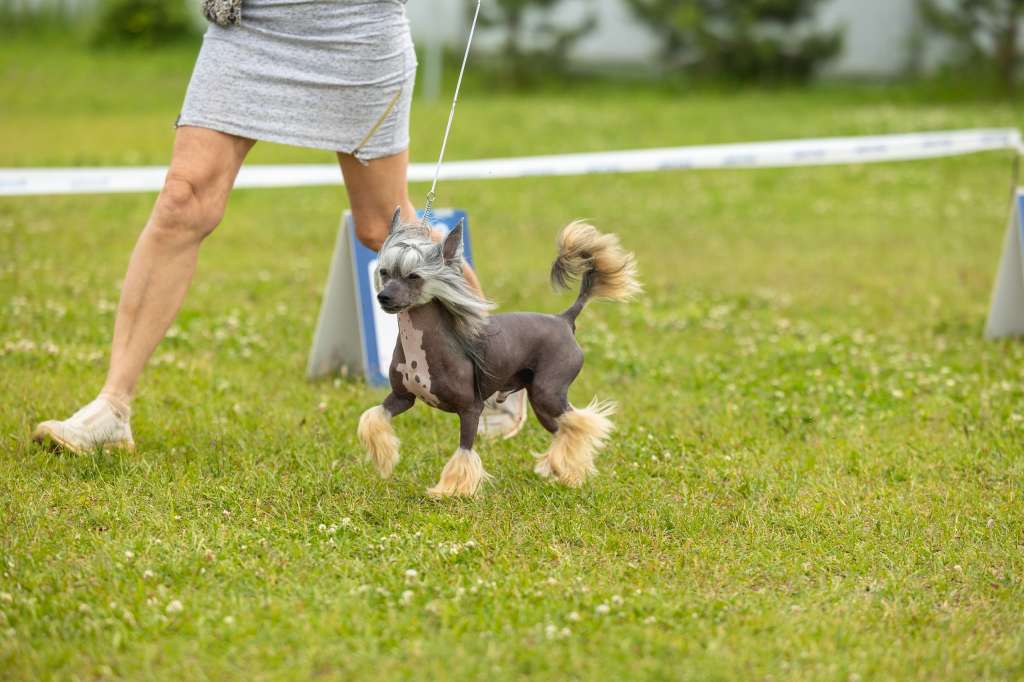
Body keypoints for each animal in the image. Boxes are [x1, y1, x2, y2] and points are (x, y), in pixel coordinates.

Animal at [357, 209, 640, 497]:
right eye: (384, 272)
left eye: (414, 276)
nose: (383, 297)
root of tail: (564, 319)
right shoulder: (402, 398)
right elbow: (372, 417)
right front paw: (384, 457)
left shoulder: (471, 408)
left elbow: (464, 452)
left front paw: (450, 491)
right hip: (541, 403)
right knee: (564, 430)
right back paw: (567, 474)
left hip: (548, 392)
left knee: (579, 424)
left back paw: (571, 475)